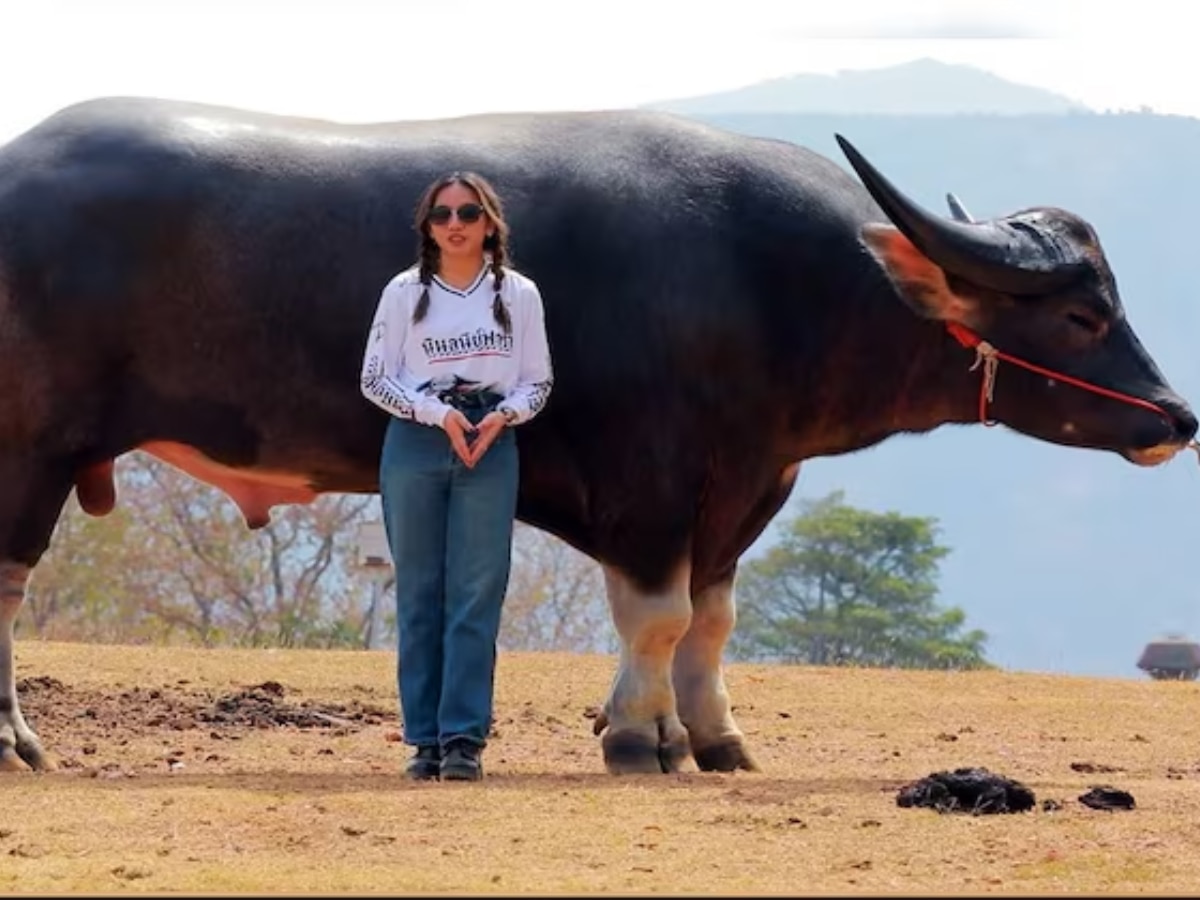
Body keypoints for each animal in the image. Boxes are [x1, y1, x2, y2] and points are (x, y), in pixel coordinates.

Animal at [0, 97, 1190, 777]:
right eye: (1083, 315)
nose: (1177, 417)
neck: (770, 284)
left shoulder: (742, 488)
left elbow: (711, 622)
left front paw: (715, 739)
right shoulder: (648, 487)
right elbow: (657, 618)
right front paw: (638, 739)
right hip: (28, 452)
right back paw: (17, 744)